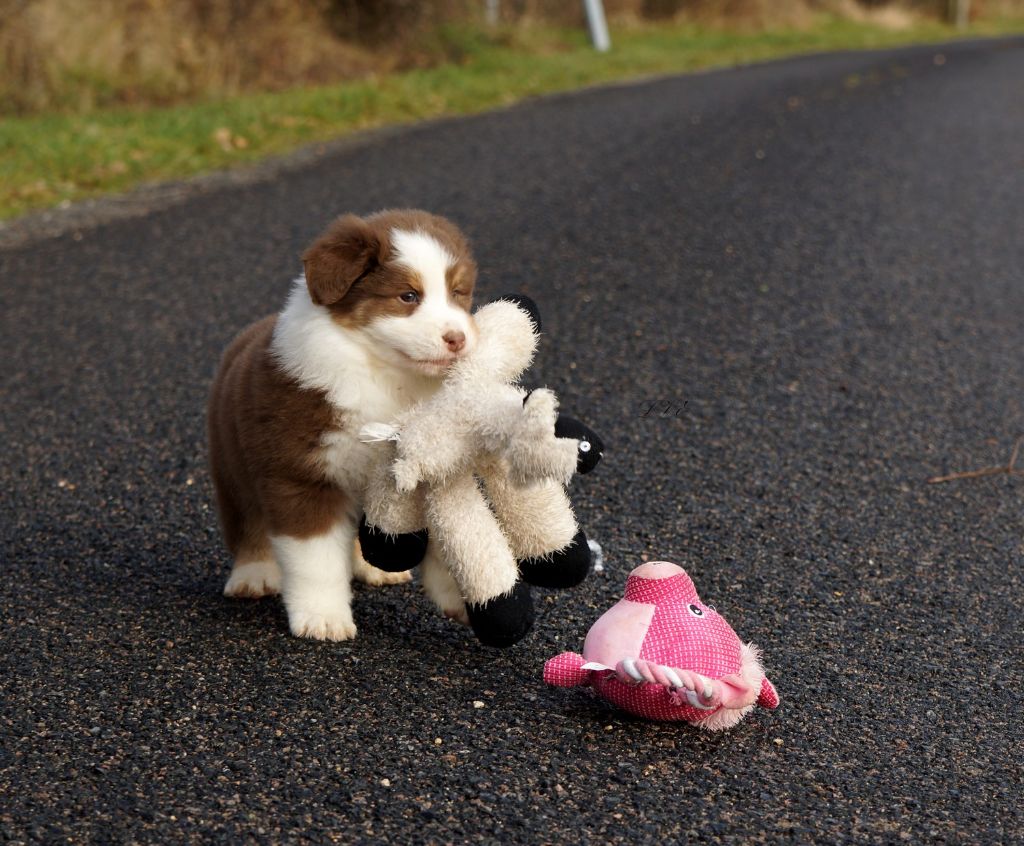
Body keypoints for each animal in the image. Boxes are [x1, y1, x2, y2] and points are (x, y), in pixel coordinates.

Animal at [207, 209, 479, 640]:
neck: (385, 377)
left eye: (458, 293)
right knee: (246, 522)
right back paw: (253, 575)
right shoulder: (302, 476)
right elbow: (315, 559)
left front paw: (464, 597)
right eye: (408, 296)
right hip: (232, 464)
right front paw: (323, 620)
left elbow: (446, 539)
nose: (458, 338)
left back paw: (373, 568)